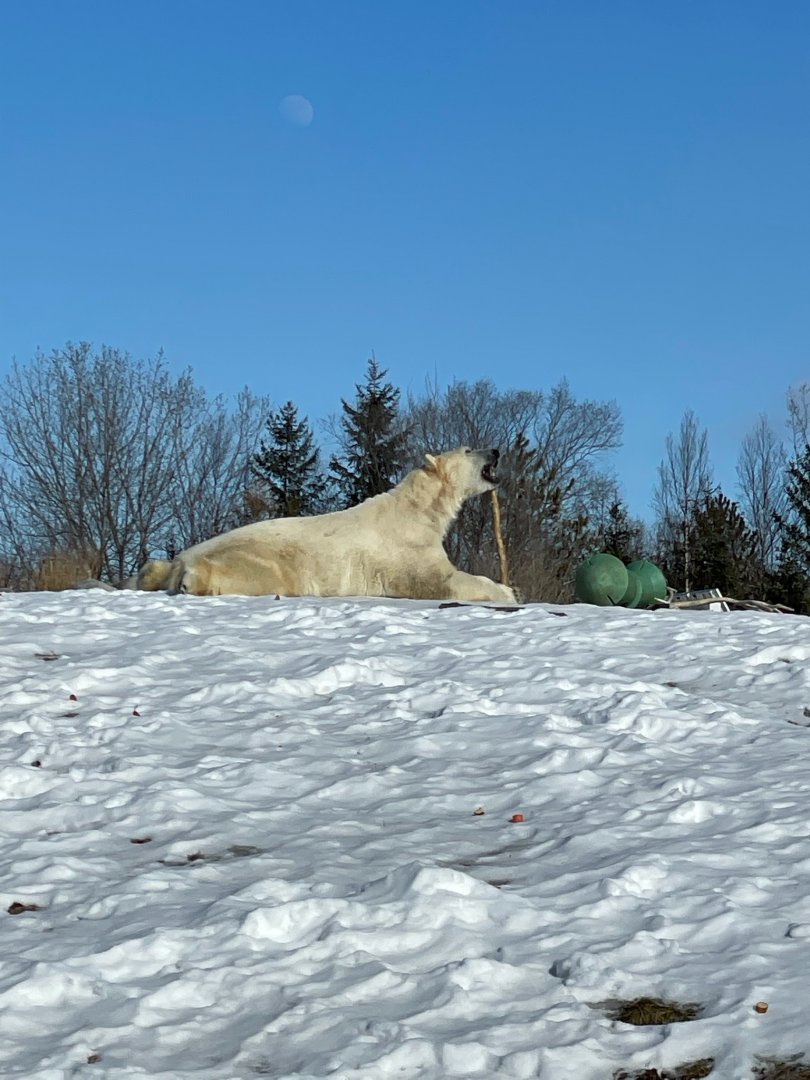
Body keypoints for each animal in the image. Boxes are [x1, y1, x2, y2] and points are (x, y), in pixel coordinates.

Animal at [137, 446, 516, 603]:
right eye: (468, 449)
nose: (496, 450)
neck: (418, 509)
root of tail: (180, 559)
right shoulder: (407, 551)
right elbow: (442, 581)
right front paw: (508, 592)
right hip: (269, 562)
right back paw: (191, 580)